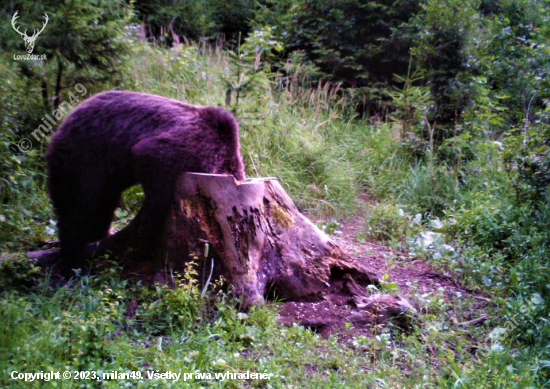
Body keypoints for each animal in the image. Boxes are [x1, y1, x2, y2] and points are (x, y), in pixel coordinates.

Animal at [47, 91, 246, 272]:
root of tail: (64, 123)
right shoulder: (190, 147)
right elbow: (155, 166)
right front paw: (145, 239)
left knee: (103, 207)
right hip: (83, 159)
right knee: (78, 208)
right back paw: (74, 262)